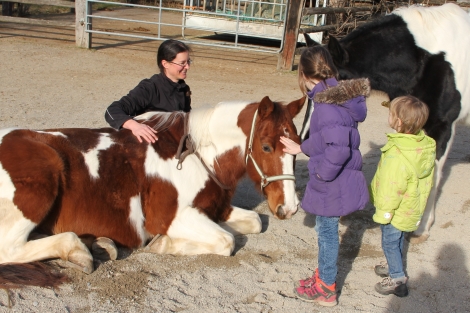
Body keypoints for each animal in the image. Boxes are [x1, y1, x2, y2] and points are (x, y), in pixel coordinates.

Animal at [302, 4, 470, 241]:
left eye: (335, 88)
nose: (306, 140)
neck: (430, 59)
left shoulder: (444, 126)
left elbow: (433, 175)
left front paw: (423, 226)